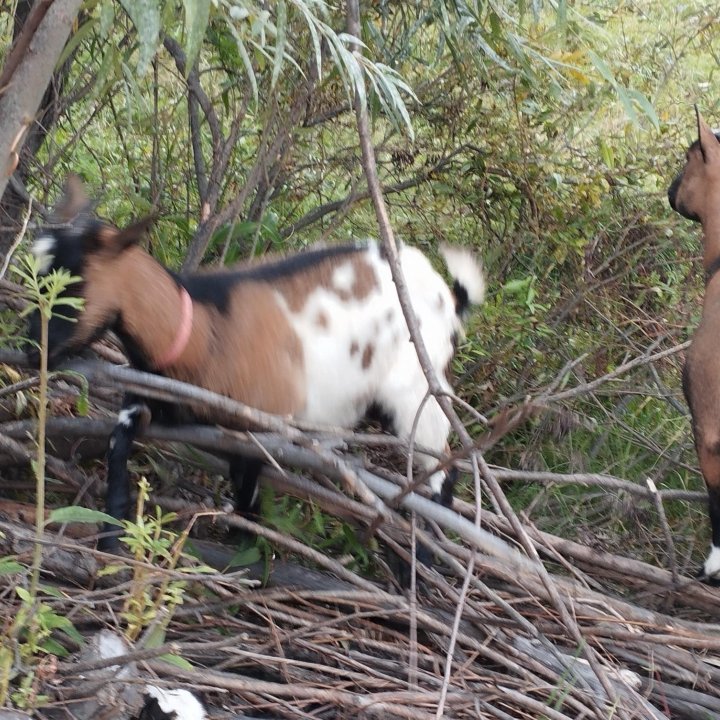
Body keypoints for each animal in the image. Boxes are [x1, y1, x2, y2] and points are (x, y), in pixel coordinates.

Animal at [26, 181, 484, 552]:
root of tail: (449, 295)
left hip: (416, 394)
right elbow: (118, 445)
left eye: (72, 284)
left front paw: (245, 552)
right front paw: (111, 534)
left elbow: (247, 494)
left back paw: (424, 560)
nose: (33, 350)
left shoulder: (258, 426)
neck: (205, 333)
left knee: (443, 470)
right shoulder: (146, 398)